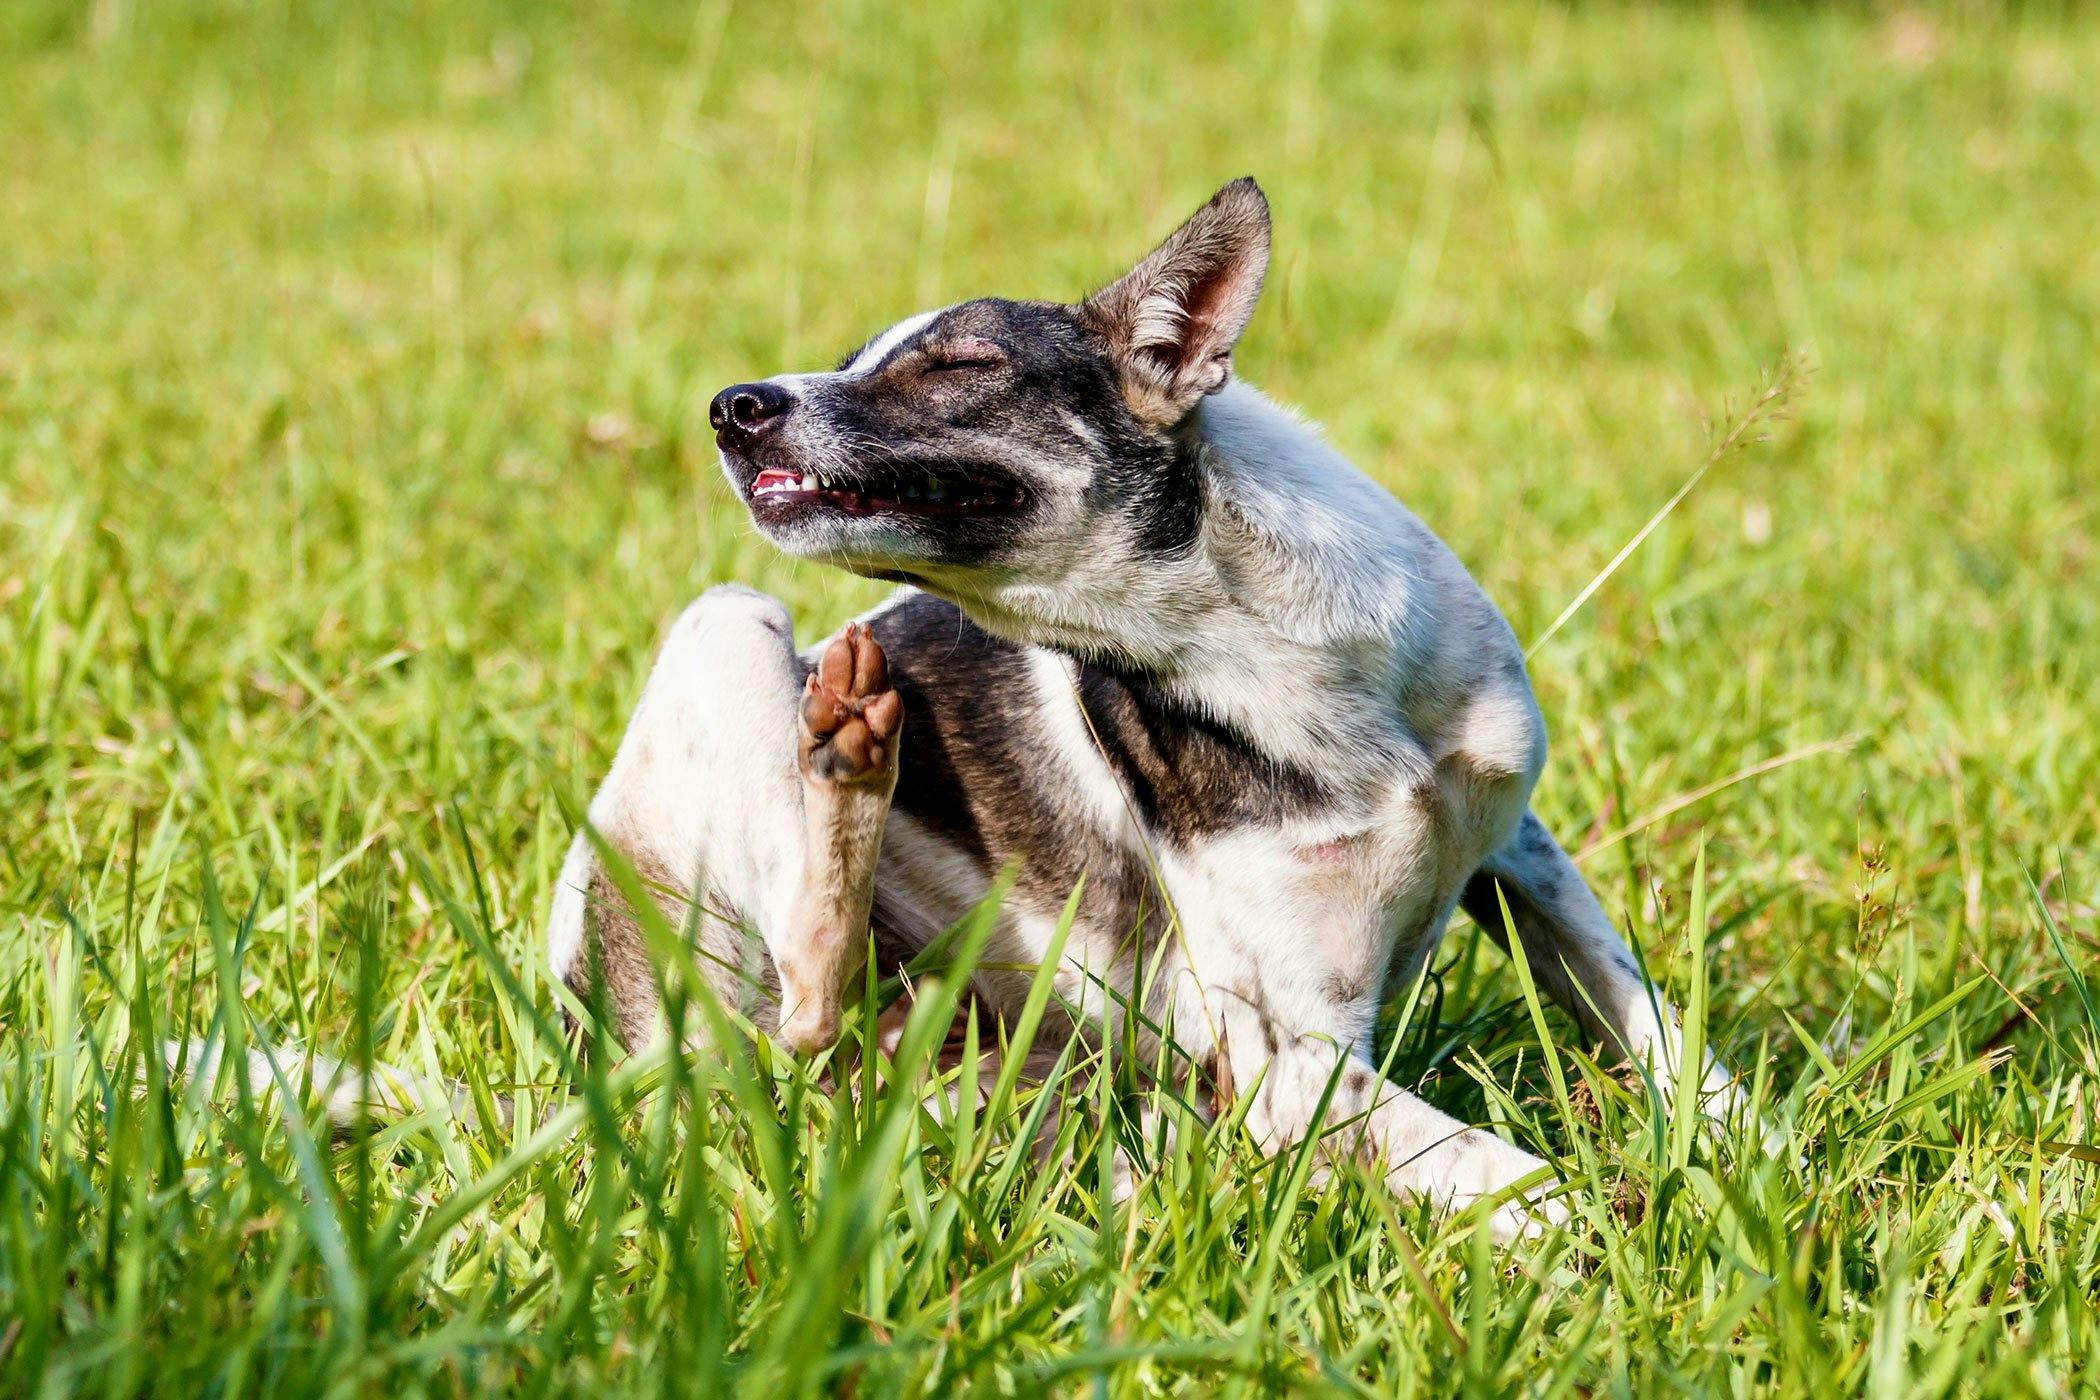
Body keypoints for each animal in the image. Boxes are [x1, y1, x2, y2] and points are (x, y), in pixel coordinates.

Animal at [546, 175, 1738, 1234]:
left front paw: (1738, 1158)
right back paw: (846, 746)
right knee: (805, 1001)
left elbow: (1665, 1035)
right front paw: (1641, 1234)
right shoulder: (1295, 1066)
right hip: (727, 624)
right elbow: (1528, 1184)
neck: (1259, 645)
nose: (729, 406)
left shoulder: (1519, 849)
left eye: (960, 365)